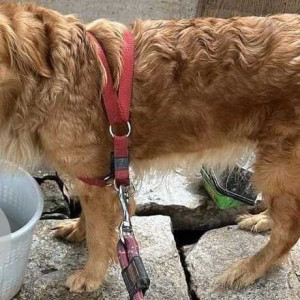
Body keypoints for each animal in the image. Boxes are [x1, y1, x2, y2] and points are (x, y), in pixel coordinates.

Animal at [0, 2, 300, 292]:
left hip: (276, 167)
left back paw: (250, 267)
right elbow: (92, 218)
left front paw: (91, 276)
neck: (51, 73)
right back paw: (265, 219)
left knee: (288, 231)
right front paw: (78, 229)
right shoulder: (98, 177)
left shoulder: (98, 179)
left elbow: (99, 235)